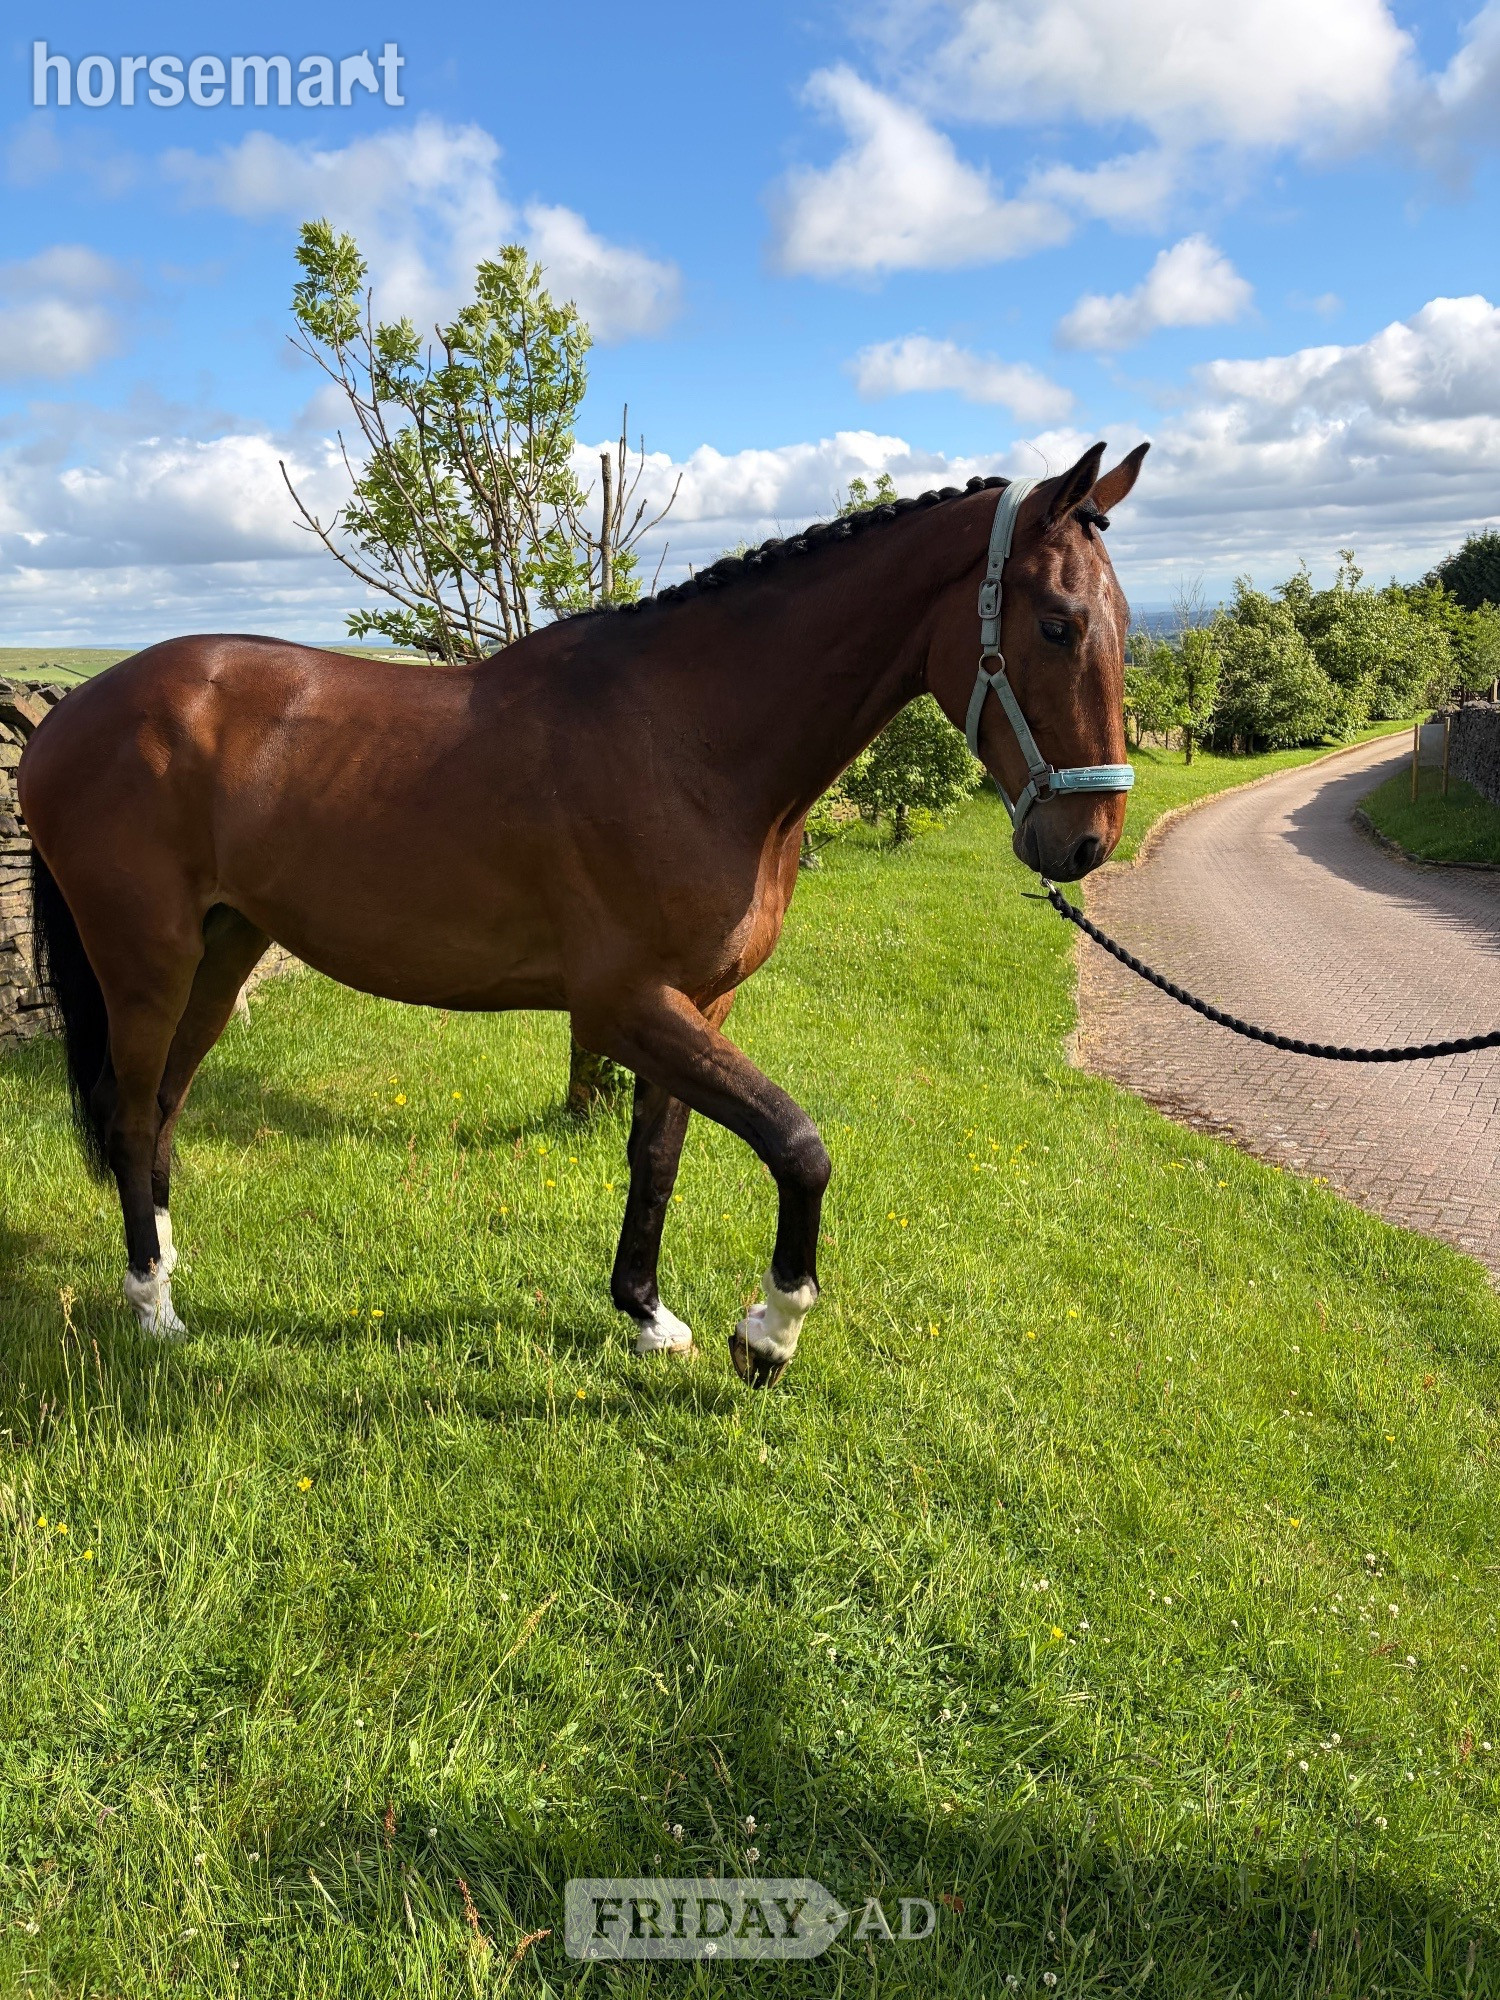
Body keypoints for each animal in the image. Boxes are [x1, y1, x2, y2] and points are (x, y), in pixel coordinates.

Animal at [19, 439, 1148, 1385]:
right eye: (1056, 623)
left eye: (1126, 625)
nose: (1086, 841)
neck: (688, 737)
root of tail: (68, 715)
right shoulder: (623, 1004)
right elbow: (798, 1143)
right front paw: (768, 1333)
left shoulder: (698, 1004)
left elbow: (659, 1157)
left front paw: (647, 1314)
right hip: (148, 962)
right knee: (131, 1112)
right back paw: (154, 1307)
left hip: (223, 950)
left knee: (163, 1110)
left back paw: (162, 1266)